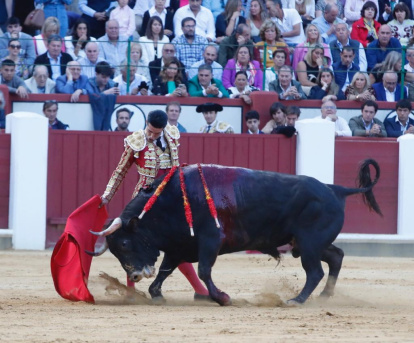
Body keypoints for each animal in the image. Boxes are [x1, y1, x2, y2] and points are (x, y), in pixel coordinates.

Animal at [91, 161, 382, 306]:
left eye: (125, 243)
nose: (134, 275)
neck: (171, 200)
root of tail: (335, 189)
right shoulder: (179, 245)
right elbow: (166, 269)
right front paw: (157, 294)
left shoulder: (210, 241)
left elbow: (203, 270)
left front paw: (222, 298)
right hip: (311, 243)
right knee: (336, 257)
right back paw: (324, 296)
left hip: (310, 244)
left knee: (316, 271)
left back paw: (296, 300)